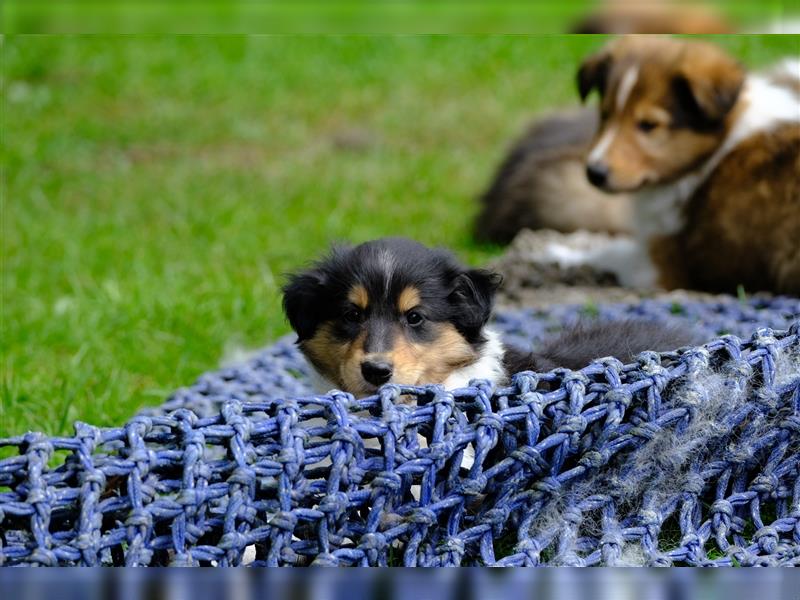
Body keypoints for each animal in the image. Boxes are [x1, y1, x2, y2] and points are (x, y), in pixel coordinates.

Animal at [576, 36, 800, 294]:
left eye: (648, 125)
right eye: (605, 115)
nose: (594, 173)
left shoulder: (661, 270)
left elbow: (609, 251)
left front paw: (562, 254)